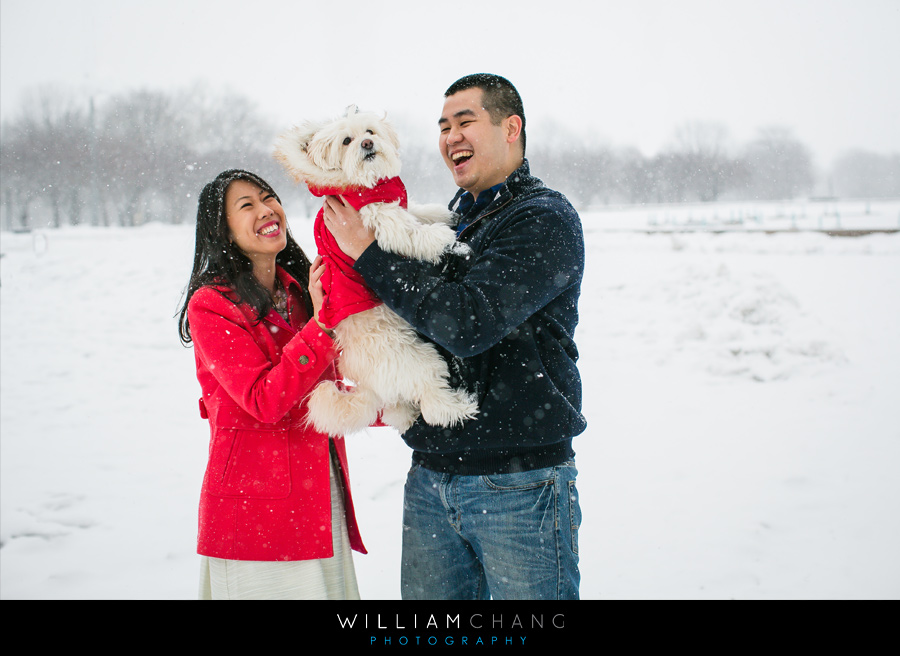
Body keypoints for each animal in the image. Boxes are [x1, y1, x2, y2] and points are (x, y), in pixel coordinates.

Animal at [272, 106, 478, 436]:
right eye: (347, 140)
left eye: (369, 132)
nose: (367, 144)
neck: (363, 184)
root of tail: (369, 387)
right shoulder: (380, 218)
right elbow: (410, 232)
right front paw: (444, 239)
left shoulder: (395, 204)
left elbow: (417, 211)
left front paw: (445, 216)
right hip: (420, 361)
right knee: (433, 403)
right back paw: (461, 407)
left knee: (399, 409)